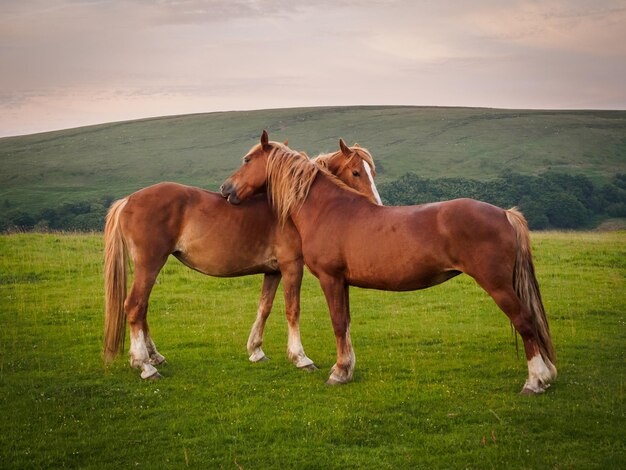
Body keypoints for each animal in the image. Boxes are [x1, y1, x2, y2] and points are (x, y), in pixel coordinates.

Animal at [104, 136, 378, 378]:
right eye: (356, 172)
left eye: (372, 172)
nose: (375, 204)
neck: (290, 207)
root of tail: (128, 200)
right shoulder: (292, 267)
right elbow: (292, 309)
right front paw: (300, 358)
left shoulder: (273, 271)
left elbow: (264, 308)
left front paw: (256, 351)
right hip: (149, 265)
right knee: (135, 306)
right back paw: (145, 365)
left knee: (142, 308)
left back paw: (153, 356)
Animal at [219, 130, 556, 394]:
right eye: (356, 172)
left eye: (247, 160)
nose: (225, 189)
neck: (329, 210)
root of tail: (504, 214)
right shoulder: (343, 282)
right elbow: (346, 323)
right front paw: (347, 368)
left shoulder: (330, 278)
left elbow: (337, 323)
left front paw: (338, 373)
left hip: (499, 286)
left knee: (525, 322)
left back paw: (535, 381)